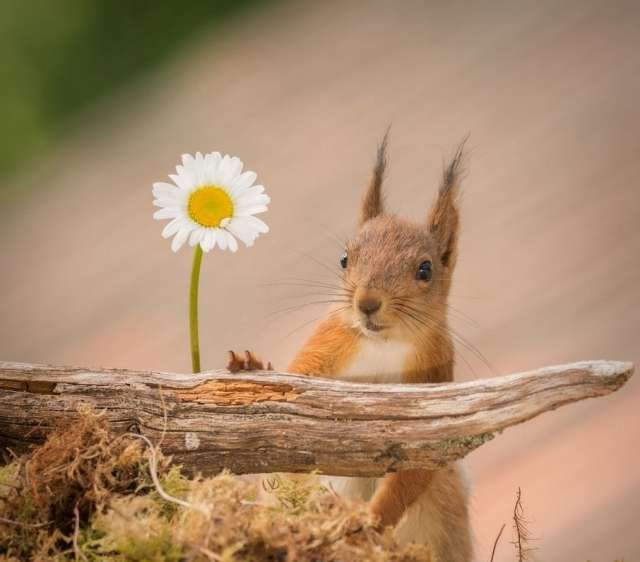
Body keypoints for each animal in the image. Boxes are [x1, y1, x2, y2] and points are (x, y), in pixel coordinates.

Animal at [229, 136, 470, 560]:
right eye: (345, 258)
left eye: (425, 270)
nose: (367, 303)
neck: (384, 342)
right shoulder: (327, 345)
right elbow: (291, 386)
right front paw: (250, 368)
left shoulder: (436, 382)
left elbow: (414, 471)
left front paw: (368, 521)